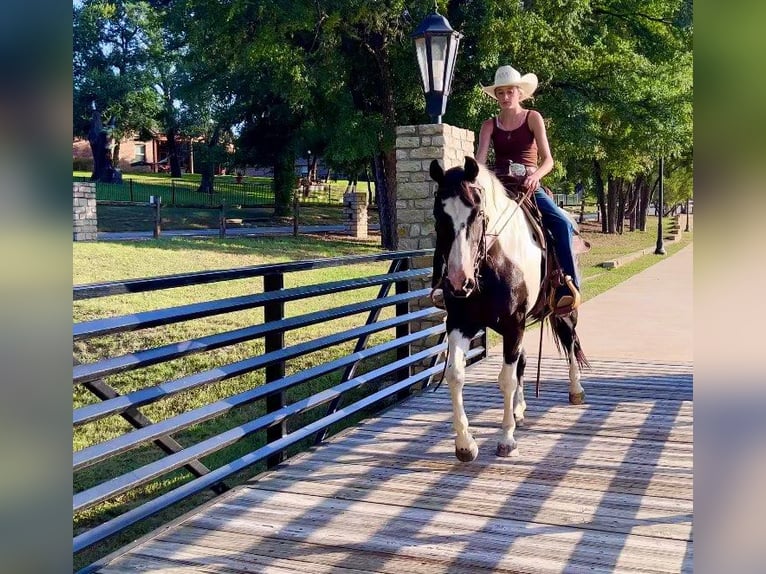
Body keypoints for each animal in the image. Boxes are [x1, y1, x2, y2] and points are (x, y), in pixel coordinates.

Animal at [432, 156, 588, 464]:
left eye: (477, 213)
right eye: (438, 215)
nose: (457, 281)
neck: (493, 262)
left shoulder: (513, 324)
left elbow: (506, 379)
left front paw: (506, 439)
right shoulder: (460, 323)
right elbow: (456, 375)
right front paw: (465, 444)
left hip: (564, 311)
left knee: (571, 341)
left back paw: (576, 389)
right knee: (523, 362)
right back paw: (518, 409)